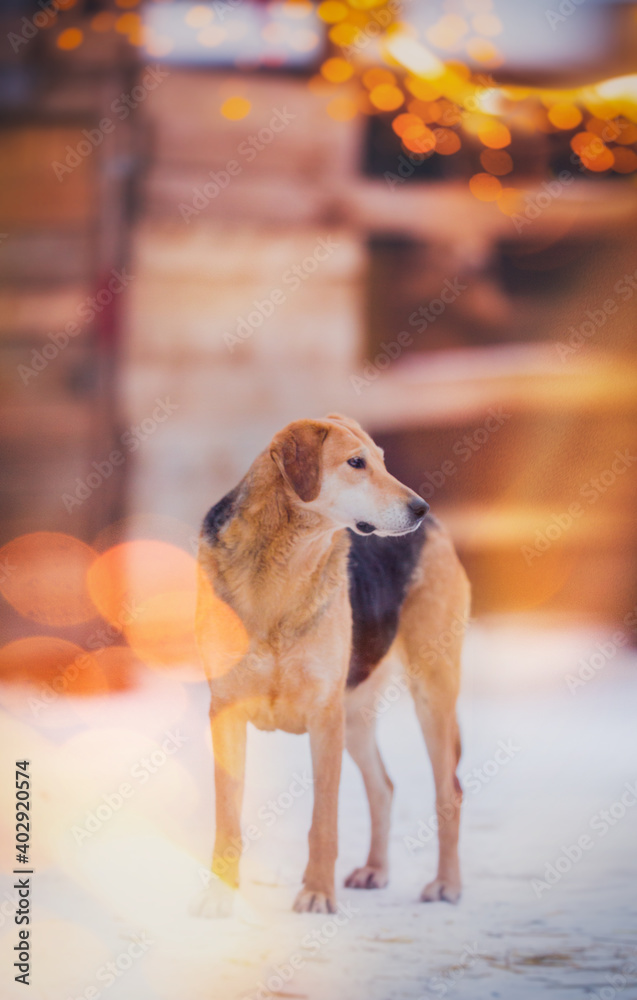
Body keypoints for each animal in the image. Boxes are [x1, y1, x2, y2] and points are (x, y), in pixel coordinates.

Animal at [191, 412, 470, 916]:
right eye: (356, 463)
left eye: (383, 460)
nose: (420, 507)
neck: (281, 569)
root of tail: (437, 529)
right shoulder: (225, 712)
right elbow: (227, 818)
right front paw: (219, 897)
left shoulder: (324, 717)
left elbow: (324, 821)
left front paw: (318, 893)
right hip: (356, 714)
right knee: (384, 787)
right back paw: (376, 870)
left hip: (431, 694)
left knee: (449, 792)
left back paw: (446, 884)